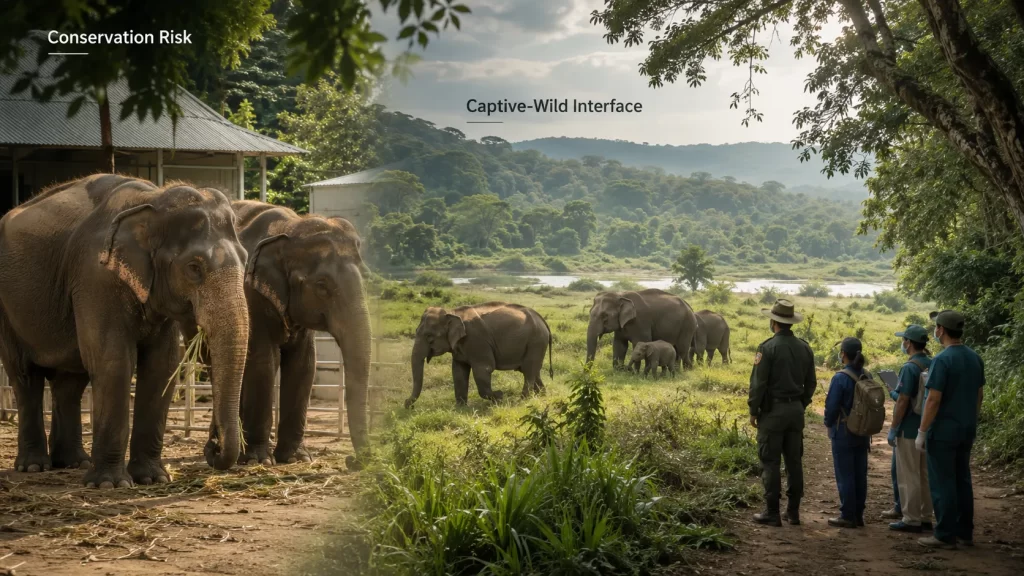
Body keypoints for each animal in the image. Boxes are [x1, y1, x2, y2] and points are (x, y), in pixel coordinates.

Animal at [0, 174, 250, 487]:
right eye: (194, 267)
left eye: (246, 259)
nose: (213, 447)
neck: (153, 199)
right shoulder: (95, 276)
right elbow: (114, 361)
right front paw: (109, 484)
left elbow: (162, 366)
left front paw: (154, 479)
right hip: (8, 313)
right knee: (25, 376)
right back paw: (34, 466)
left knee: (69, 382)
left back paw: (72, 463)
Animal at [219, 201, 371, 469]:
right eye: (322, 285)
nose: (352, 460)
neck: (289, 228)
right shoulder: (250, 294)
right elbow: (264, 362)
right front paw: (260, 460)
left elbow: (304, 364)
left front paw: (295, 458)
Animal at [406, 302, 552, 408]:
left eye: (429, 337)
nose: (408, 405)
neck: (452, 312)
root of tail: (541, 319)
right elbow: (459, 371)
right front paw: (461, 409)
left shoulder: (477, 341)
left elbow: (483, 369)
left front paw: (500, 397)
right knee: (533, 370)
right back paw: (541, 396)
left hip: (536, 342)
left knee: (529, 370)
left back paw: (522, 400)